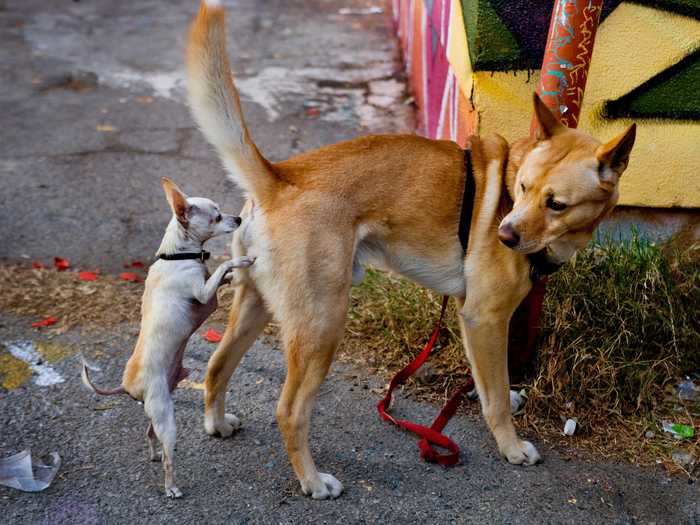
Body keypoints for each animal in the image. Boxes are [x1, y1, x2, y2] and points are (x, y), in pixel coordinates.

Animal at [82, 176, 254, 496]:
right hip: (167, 417)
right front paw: (241, 261)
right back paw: (171, 487)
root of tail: (127, 386)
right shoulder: (204, 295)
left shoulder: (208, 290)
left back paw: (153, 453)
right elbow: (222, 269)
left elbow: (220, 275)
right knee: (169, 459)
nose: (237, 219)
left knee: (150, 434)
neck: (176, 255)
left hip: (159, 410)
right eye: (216, 217)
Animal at [185, 1, 636, 500]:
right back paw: (312, 480)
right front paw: (511, 446)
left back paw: (217, 423)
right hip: (323, 323)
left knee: (216, 366)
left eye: (556, 203)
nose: (503, 235)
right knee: (289, 411)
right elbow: (496, 397)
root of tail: (280, 178)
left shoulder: (473, 317)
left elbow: (490, 383)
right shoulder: (484, 318)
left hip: (256, 304)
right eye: (521, 188)